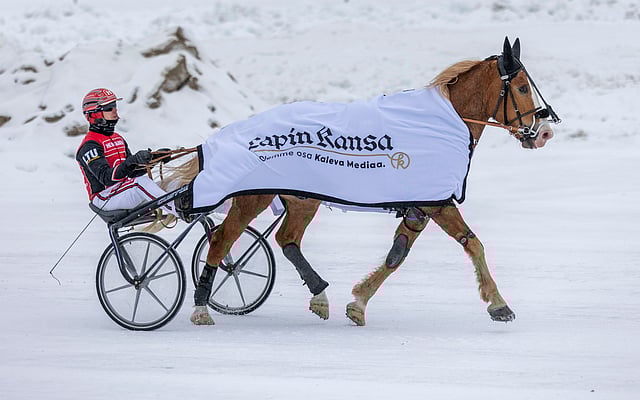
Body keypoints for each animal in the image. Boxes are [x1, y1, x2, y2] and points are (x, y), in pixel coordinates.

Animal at [160, 37, 559, 326]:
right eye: (522, 87)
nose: (544, 133)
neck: (442, 123)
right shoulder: (437, 202)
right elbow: (473, 244)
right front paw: (498, 303)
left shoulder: (421, 206)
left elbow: (397, 254)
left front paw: (359, 301)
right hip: (253, 197)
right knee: (221, 240)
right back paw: (201, 308)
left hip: (303, 199)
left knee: (286, 239)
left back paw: (319, 294)